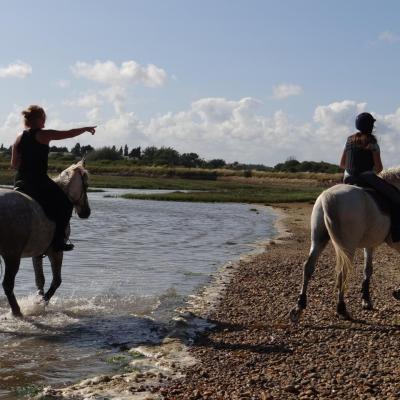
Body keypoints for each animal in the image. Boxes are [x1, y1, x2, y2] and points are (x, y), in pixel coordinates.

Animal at [0, 161, 90, 318]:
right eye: (86, 184)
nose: (86, 212)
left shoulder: (37, 253)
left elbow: (39, 280)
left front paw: (39, 299)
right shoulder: (56, 251)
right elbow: (56, 281)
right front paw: (41, 302)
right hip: (12, 255)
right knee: (8, 284)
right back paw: (17, 311)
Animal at [290, 166, 400, 322]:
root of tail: (329, 195)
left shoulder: (369, 245)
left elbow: (367, 270)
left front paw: (366, 300)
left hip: (318, 240)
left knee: (308, 267)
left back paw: (299, 306)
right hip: (347, 246)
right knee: (343, 271)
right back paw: (341, 308)